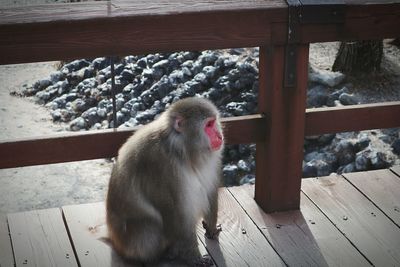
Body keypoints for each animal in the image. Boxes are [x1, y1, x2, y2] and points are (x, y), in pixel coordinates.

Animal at [106, 97, 223, 266]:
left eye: (214, 122)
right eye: (208, 125)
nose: (220, 136)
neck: (181, 150)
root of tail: (116, 243)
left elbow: (209, 191)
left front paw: (212, 229)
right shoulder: (163, 166)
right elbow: (178, 212)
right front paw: (195, 258)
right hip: (133, 243)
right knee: (150, 227)